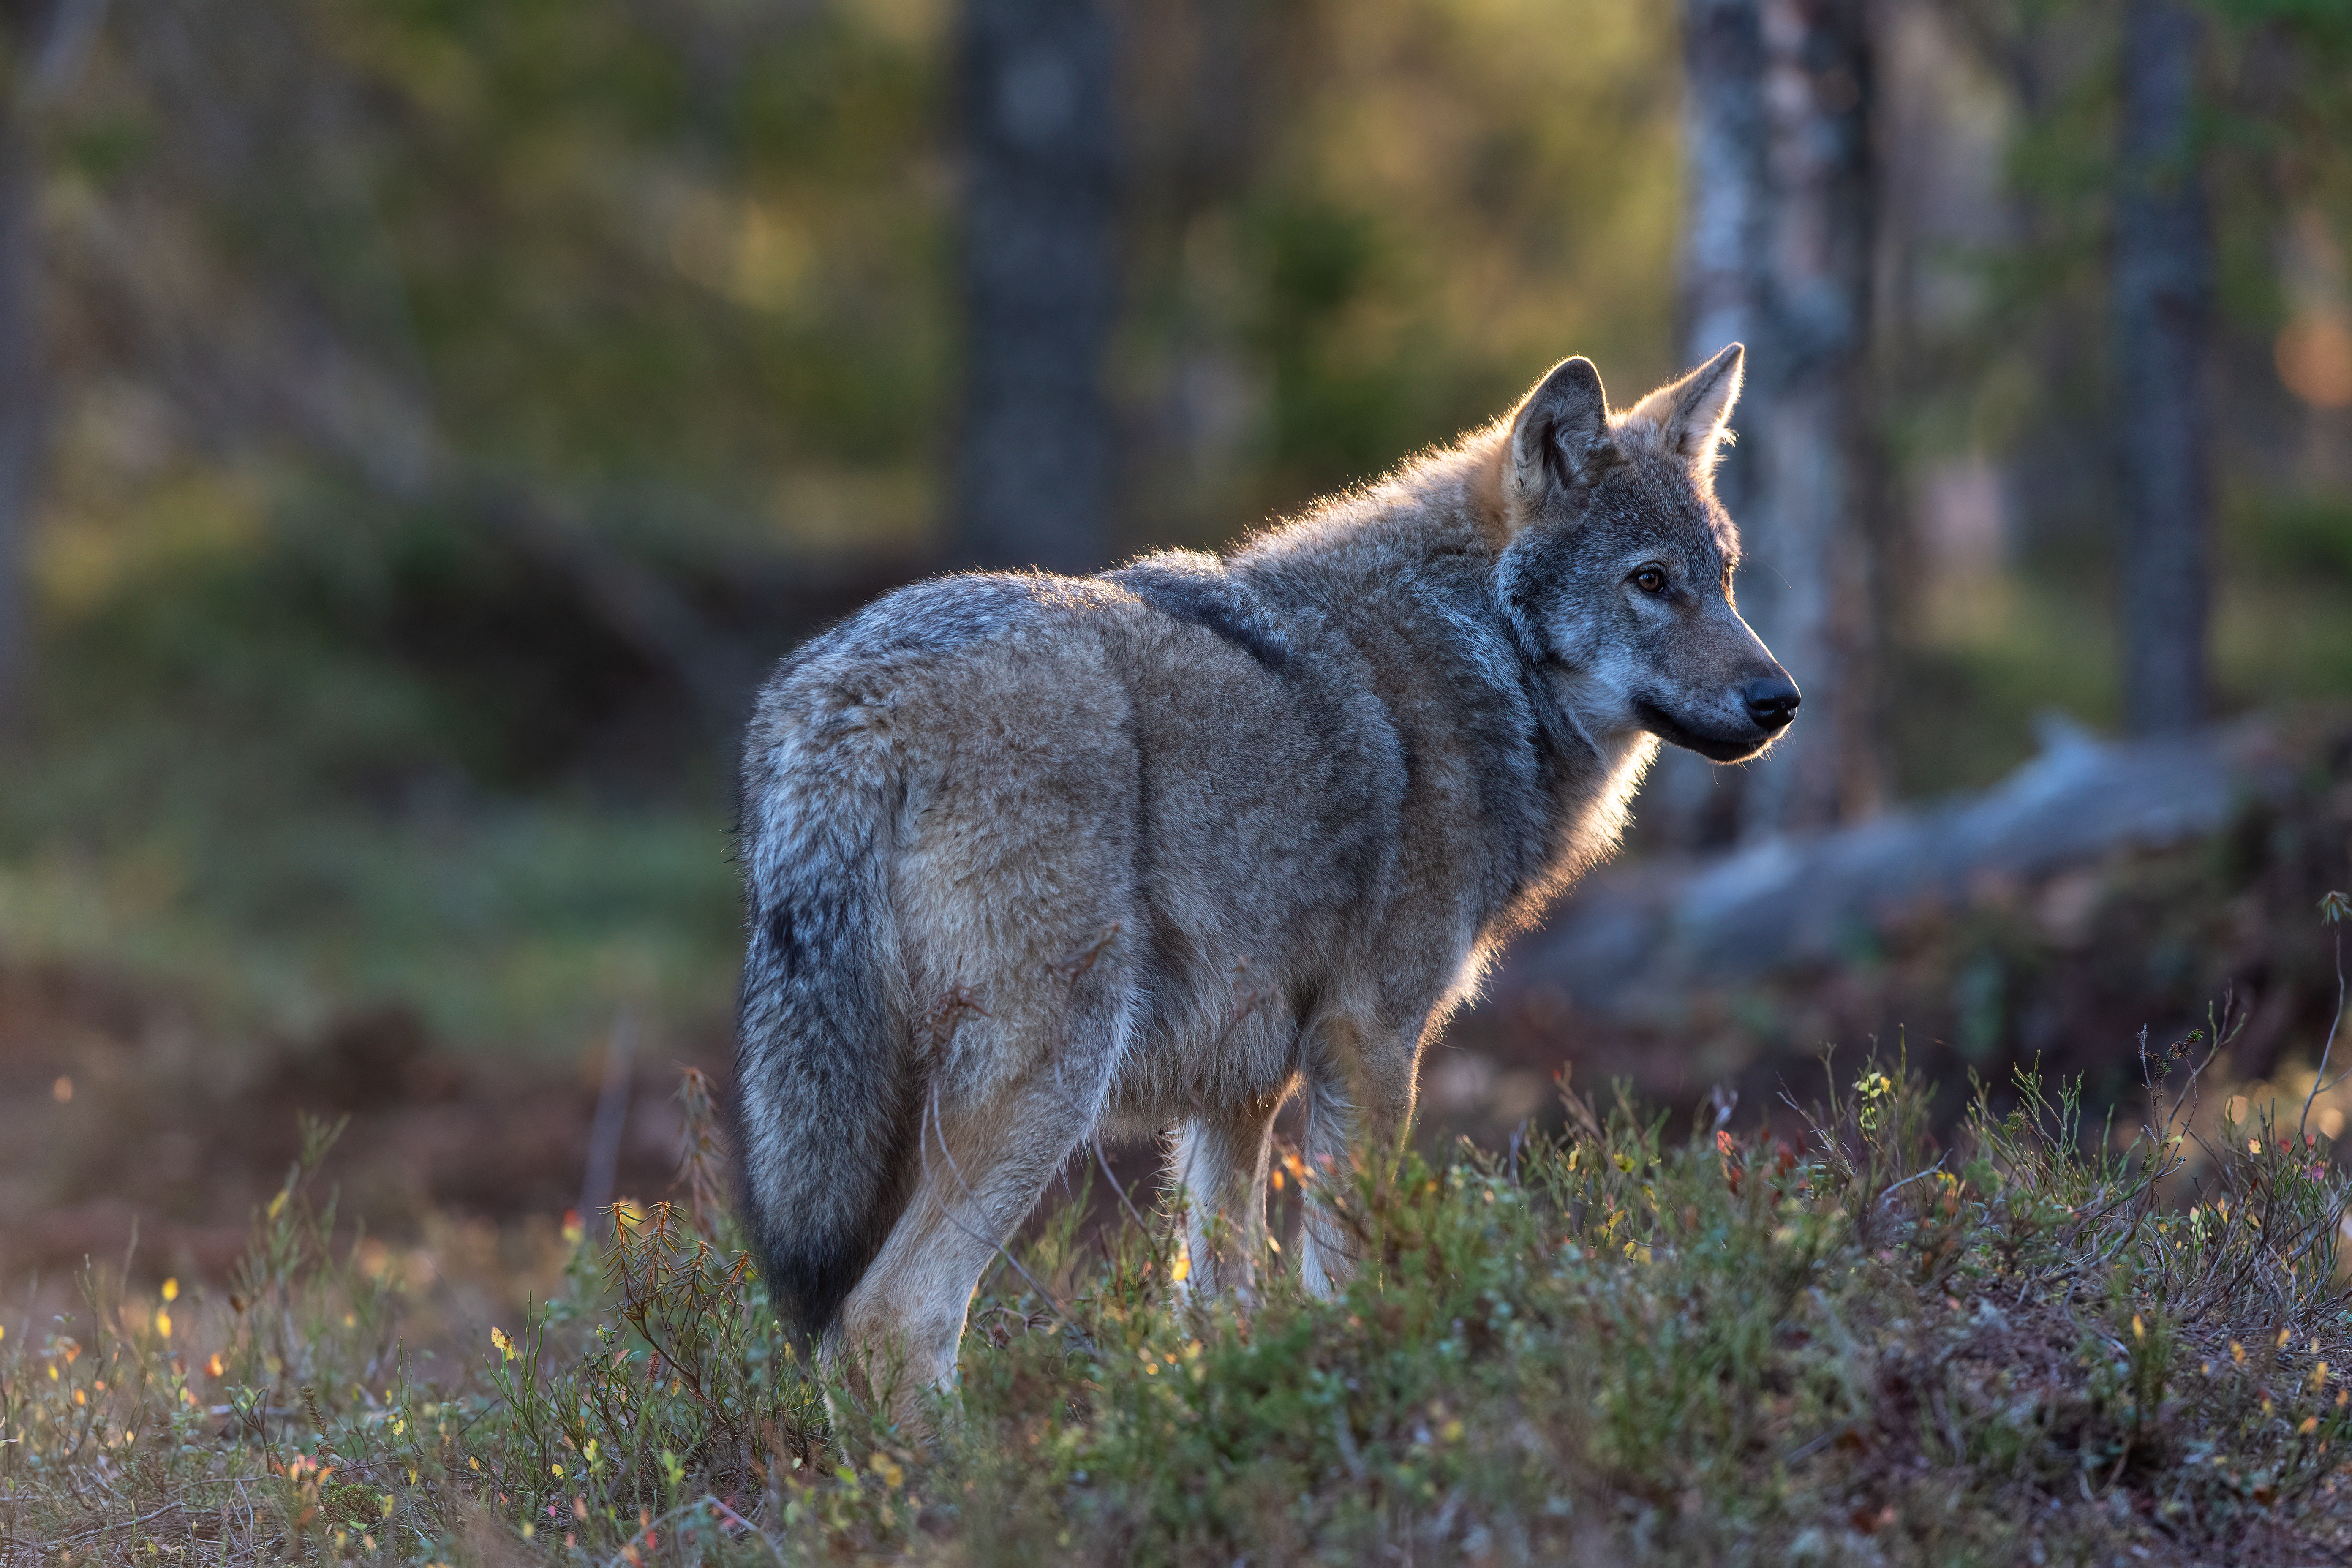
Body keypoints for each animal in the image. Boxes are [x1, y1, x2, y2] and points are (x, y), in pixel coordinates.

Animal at [734, 346, 1797, 1420]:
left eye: (1726, 578)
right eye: (1650, 581)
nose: (1781, 700)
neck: (1471, 654)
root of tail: (851, 697)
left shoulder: (1240, 1084)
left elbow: (1215, 1302)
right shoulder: (1369, 1042)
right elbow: (1345, 1275)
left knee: (841, 1332)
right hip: (1048, 1080)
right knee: (892, 1318)